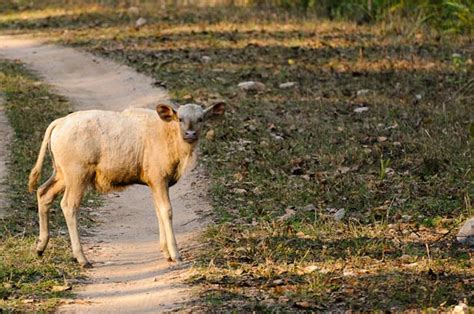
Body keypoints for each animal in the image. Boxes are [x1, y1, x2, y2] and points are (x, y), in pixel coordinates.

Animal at [28, 103, 225, 268]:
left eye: (201, 119)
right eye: (180, 119)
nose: (190, 134)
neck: (168, 136)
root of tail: (60, 122)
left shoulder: (154, 183)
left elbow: (158, 210)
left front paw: (166, 251)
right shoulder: (159, 179)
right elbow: (167, 211)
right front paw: (175, 254)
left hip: (61, 174)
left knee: (43, 193)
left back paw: (40, 246)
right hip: (77, 175)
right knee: (68, 205)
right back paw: (82, 258)